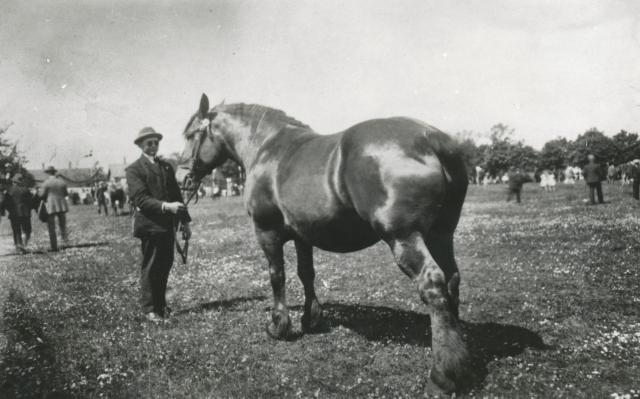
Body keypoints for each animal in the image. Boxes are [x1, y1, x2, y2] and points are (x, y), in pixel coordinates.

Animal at [181, 94, 476, 394]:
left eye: (191, 135)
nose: (184, 179)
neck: (266, 147)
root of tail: (431, 138)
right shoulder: (303, 235)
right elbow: (306, 274)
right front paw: (310, 319)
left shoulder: (267, 232)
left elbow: (277, 276)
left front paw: (279, 325)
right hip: (441, 235)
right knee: (451, 279)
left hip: (405, 238)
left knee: (433, 284)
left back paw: (441, 376)